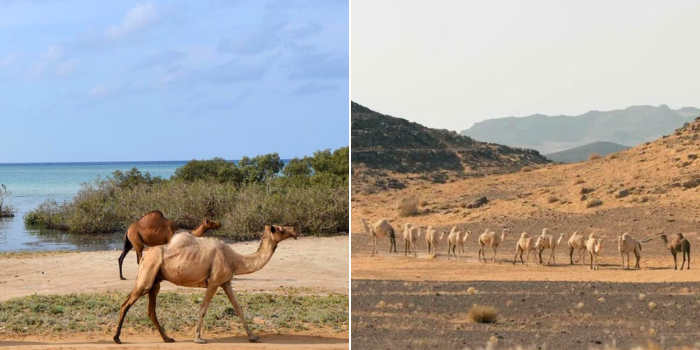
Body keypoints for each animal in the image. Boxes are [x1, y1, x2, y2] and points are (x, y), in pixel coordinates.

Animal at [113, 224, 300, 344]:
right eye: (281, 229)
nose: (295, 230)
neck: (235, 259)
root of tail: (146, 255)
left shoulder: (226, 283)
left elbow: (238, 308)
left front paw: (253, 337)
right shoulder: (214, 282)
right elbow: (203, 308)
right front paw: (198, 338)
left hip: (155, 281)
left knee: (151, 310)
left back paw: (168, 338)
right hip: (147, 273)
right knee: (126, 303)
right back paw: (117, 338)